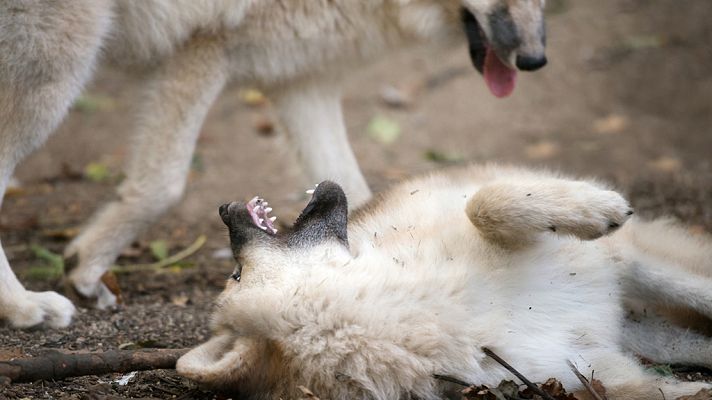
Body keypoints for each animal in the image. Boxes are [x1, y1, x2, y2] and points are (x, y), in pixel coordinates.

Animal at [0, 0, 547, 328]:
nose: (536, 60)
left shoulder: (303, 80)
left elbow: (357, 193)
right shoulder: (203, 49)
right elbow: (163, 184)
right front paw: (85, 267)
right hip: (58, 66)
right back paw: (23, 306)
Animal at [177, 165, 712, 399]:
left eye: (234, 273)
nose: (223, 208)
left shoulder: (617, 259)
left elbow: (486, 203)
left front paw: (594, 208)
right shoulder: (591, 373)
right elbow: (661, 390)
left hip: (645, 276)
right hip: (650, 335)